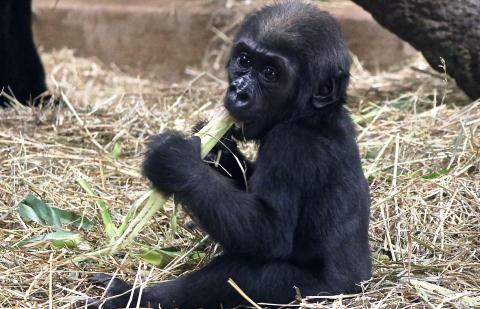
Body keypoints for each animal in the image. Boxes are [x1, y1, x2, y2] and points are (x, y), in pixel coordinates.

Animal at [92, 1, 374, 306]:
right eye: (245, 61)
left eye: (270, 73)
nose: (239, 92)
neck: (310, 116)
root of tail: (363, 284)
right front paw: (218, 147)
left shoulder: (291, 145)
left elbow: (269, 232)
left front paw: (175, 162)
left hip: (319, 292)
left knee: (245, 276)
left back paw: (131, 297)